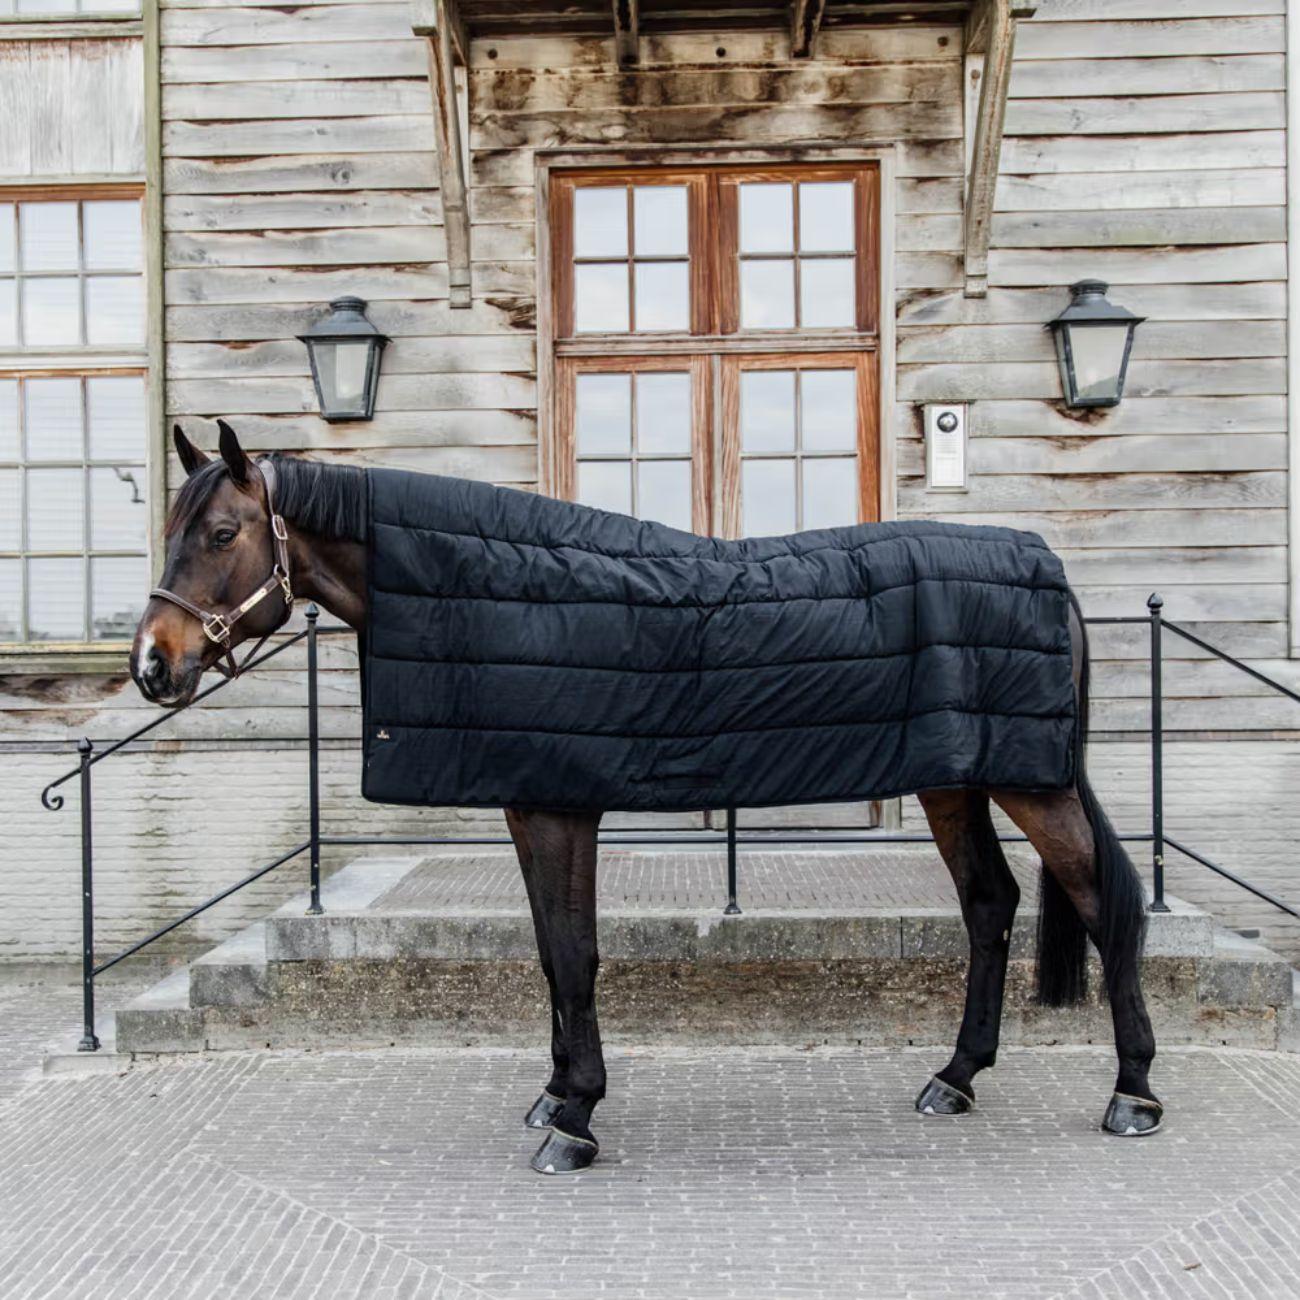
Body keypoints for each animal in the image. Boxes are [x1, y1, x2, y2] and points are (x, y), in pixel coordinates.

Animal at [131, 421, 1161, 1175]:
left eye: (221, 534)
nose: (151, 665)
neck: (500, 589)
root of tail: (1046, 564)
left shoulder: (560, 807)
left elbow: (576, 955)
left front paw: (576, 1121)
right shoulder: (530, 800)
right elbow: (552, 957)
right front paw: (556, 1093)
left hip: (1031, 782)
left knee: (1104, 902)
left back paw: (1134, 1094)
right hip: (957, 779)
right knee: (991, 903)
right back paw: (955, 1078)